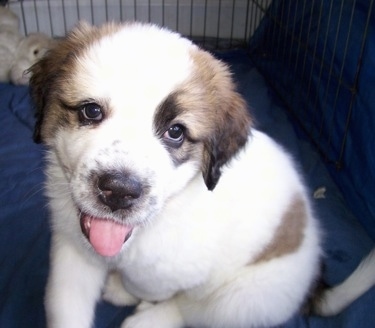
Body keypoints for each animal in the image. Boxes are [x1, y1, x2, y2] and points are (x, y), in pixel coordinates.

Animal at [28, 21, 374, 326]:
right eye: (91, 111)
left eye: (176, 132)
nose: (119, 190)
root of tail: (312, 281)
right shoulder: (71, 249)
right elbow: (64, 304)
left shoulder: (177, 271)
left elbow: (149, 286)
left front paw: (126, 290)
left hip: (240, 298)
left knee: (195, 311)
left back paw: (147, 317)